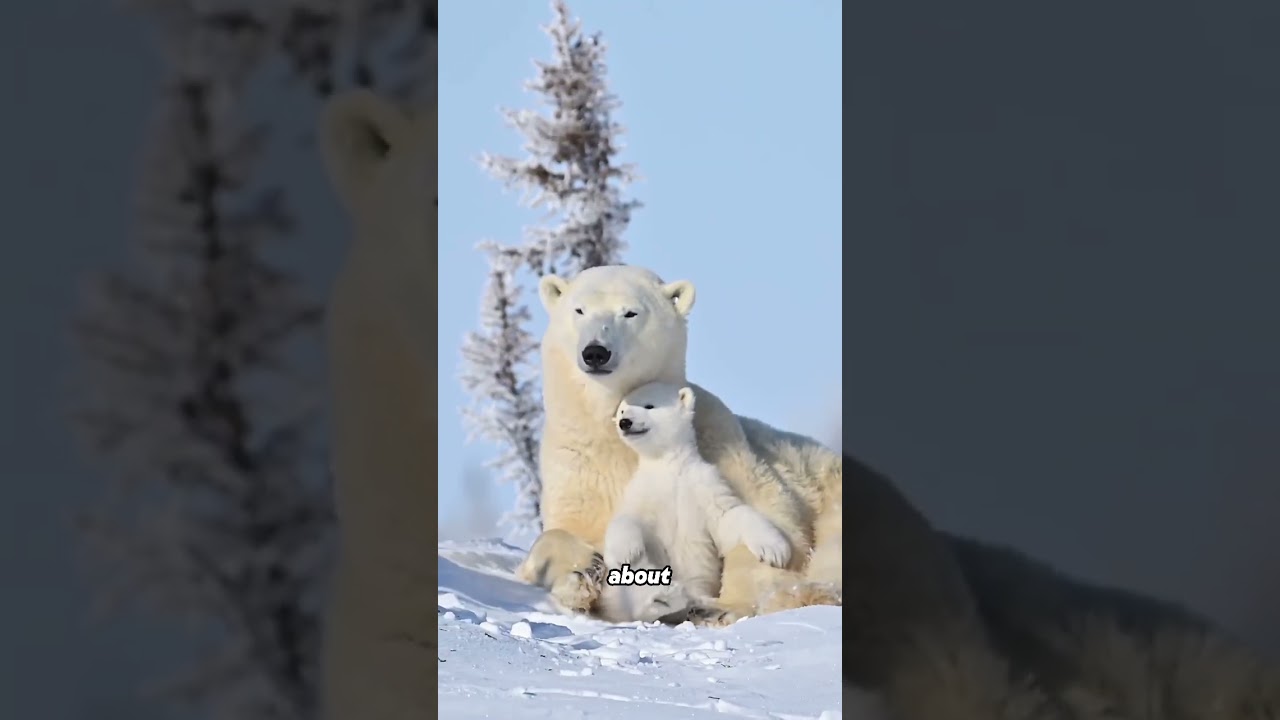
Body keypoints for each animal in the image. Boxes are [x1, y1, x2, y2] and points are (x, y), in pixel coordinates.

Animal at [514, 264, 844, 623]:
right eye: (579, 310)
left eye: (630, 312)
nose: (596, 352)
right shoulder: (579, 465)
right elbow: (562, 530)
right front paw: (582, 574)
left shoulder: (721, 444)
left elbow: (772, 519)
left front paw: (726, 605)